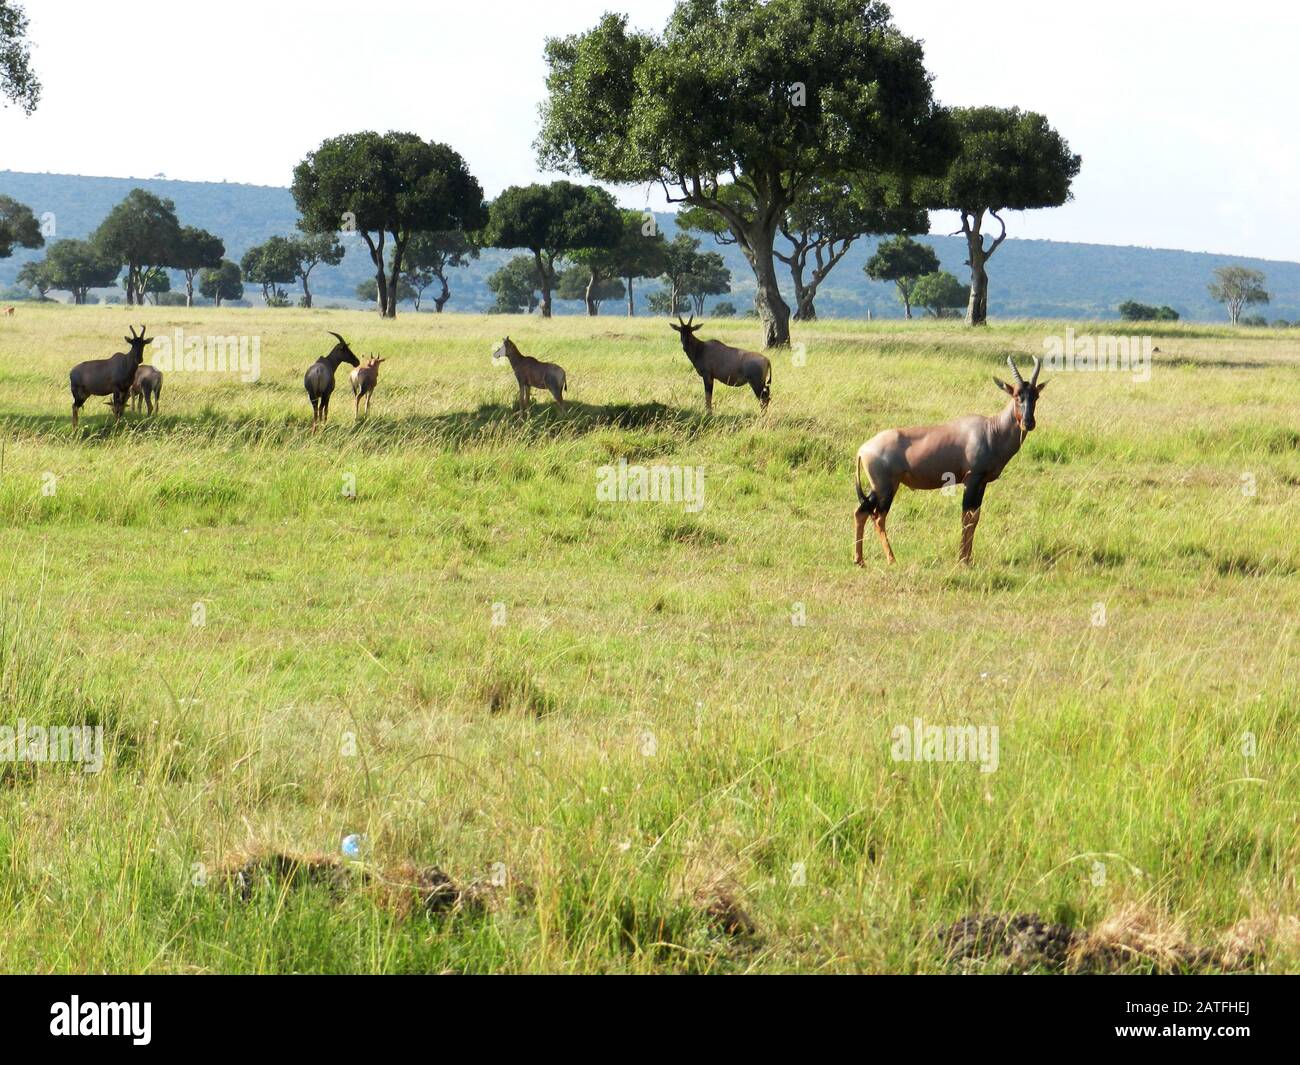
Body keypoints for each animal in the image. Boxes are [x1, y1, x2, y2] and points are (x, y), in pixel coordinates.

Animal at [852, 356, 1045, 566]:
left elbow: (975, 517)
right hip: (886, 488)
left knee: (861, 512)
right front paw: (962, 560)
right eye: (1017, 396)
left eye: (1035, 396)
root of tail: (863, 449)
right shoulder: (971, 479)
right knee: (878, 518)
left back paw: (859, 560)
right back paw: (891, 559)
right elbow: (966, 517)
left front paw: (968, 558)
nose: (1028, 423)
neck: (990, 429)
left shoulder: (982, 482)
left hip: (878, 488)